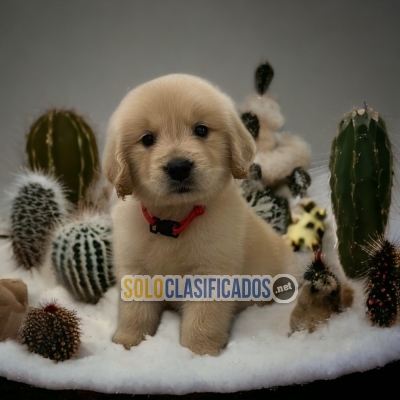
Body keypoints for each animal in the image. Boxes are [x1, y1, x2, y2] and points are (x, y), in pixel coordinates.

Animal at [101, 73, 302, 354]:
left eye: (201, 130)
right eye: (148, 139)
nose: (178, 167)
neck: (173, 219)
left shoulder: (212, 272)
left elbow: (203, 318)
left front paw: (197, 353)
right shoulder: (134, 268)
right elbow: (135, 312)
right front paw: (127, 342)